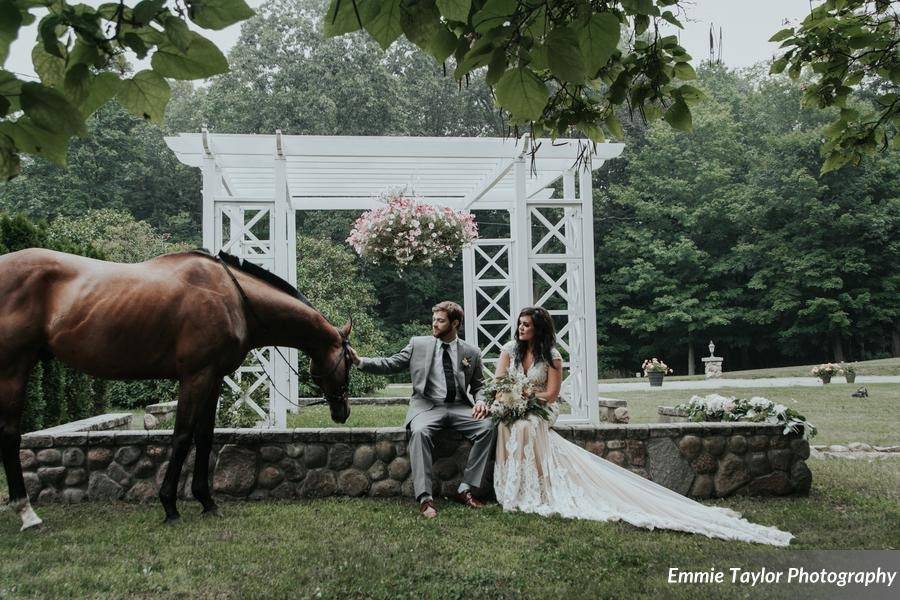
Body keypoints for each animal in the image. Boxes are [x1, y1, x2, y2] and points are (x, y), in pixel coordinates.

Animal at [0, 247, 352, 528]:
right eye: (348, 362)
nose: (342, 411)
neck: (233, 296)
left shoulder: (213, 379)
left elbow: (204, 437)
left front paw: (206, 500)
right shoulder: (195, 377)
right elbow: (182, 436)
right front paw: (169, 504)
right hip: (13, 367)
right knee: (10, 435)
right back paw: (27, 513)